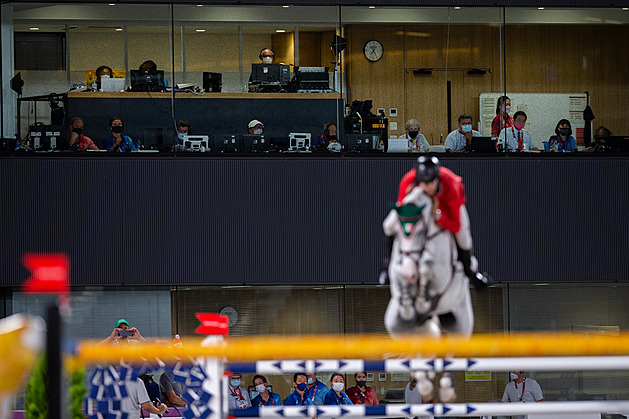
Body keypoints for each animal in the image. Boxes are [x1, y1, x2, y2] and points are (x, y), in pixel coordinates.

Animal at [380, 188, 474, 342]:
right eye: (397, 232)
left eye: (420, 231)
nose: (410, 273)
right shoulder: (396, 267)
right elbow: (399, 273)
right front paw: (409, 303)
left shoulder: (442, 274)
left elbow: (426, 266)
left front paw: (421, 303)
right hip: (396, 324)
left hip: (460, 322)